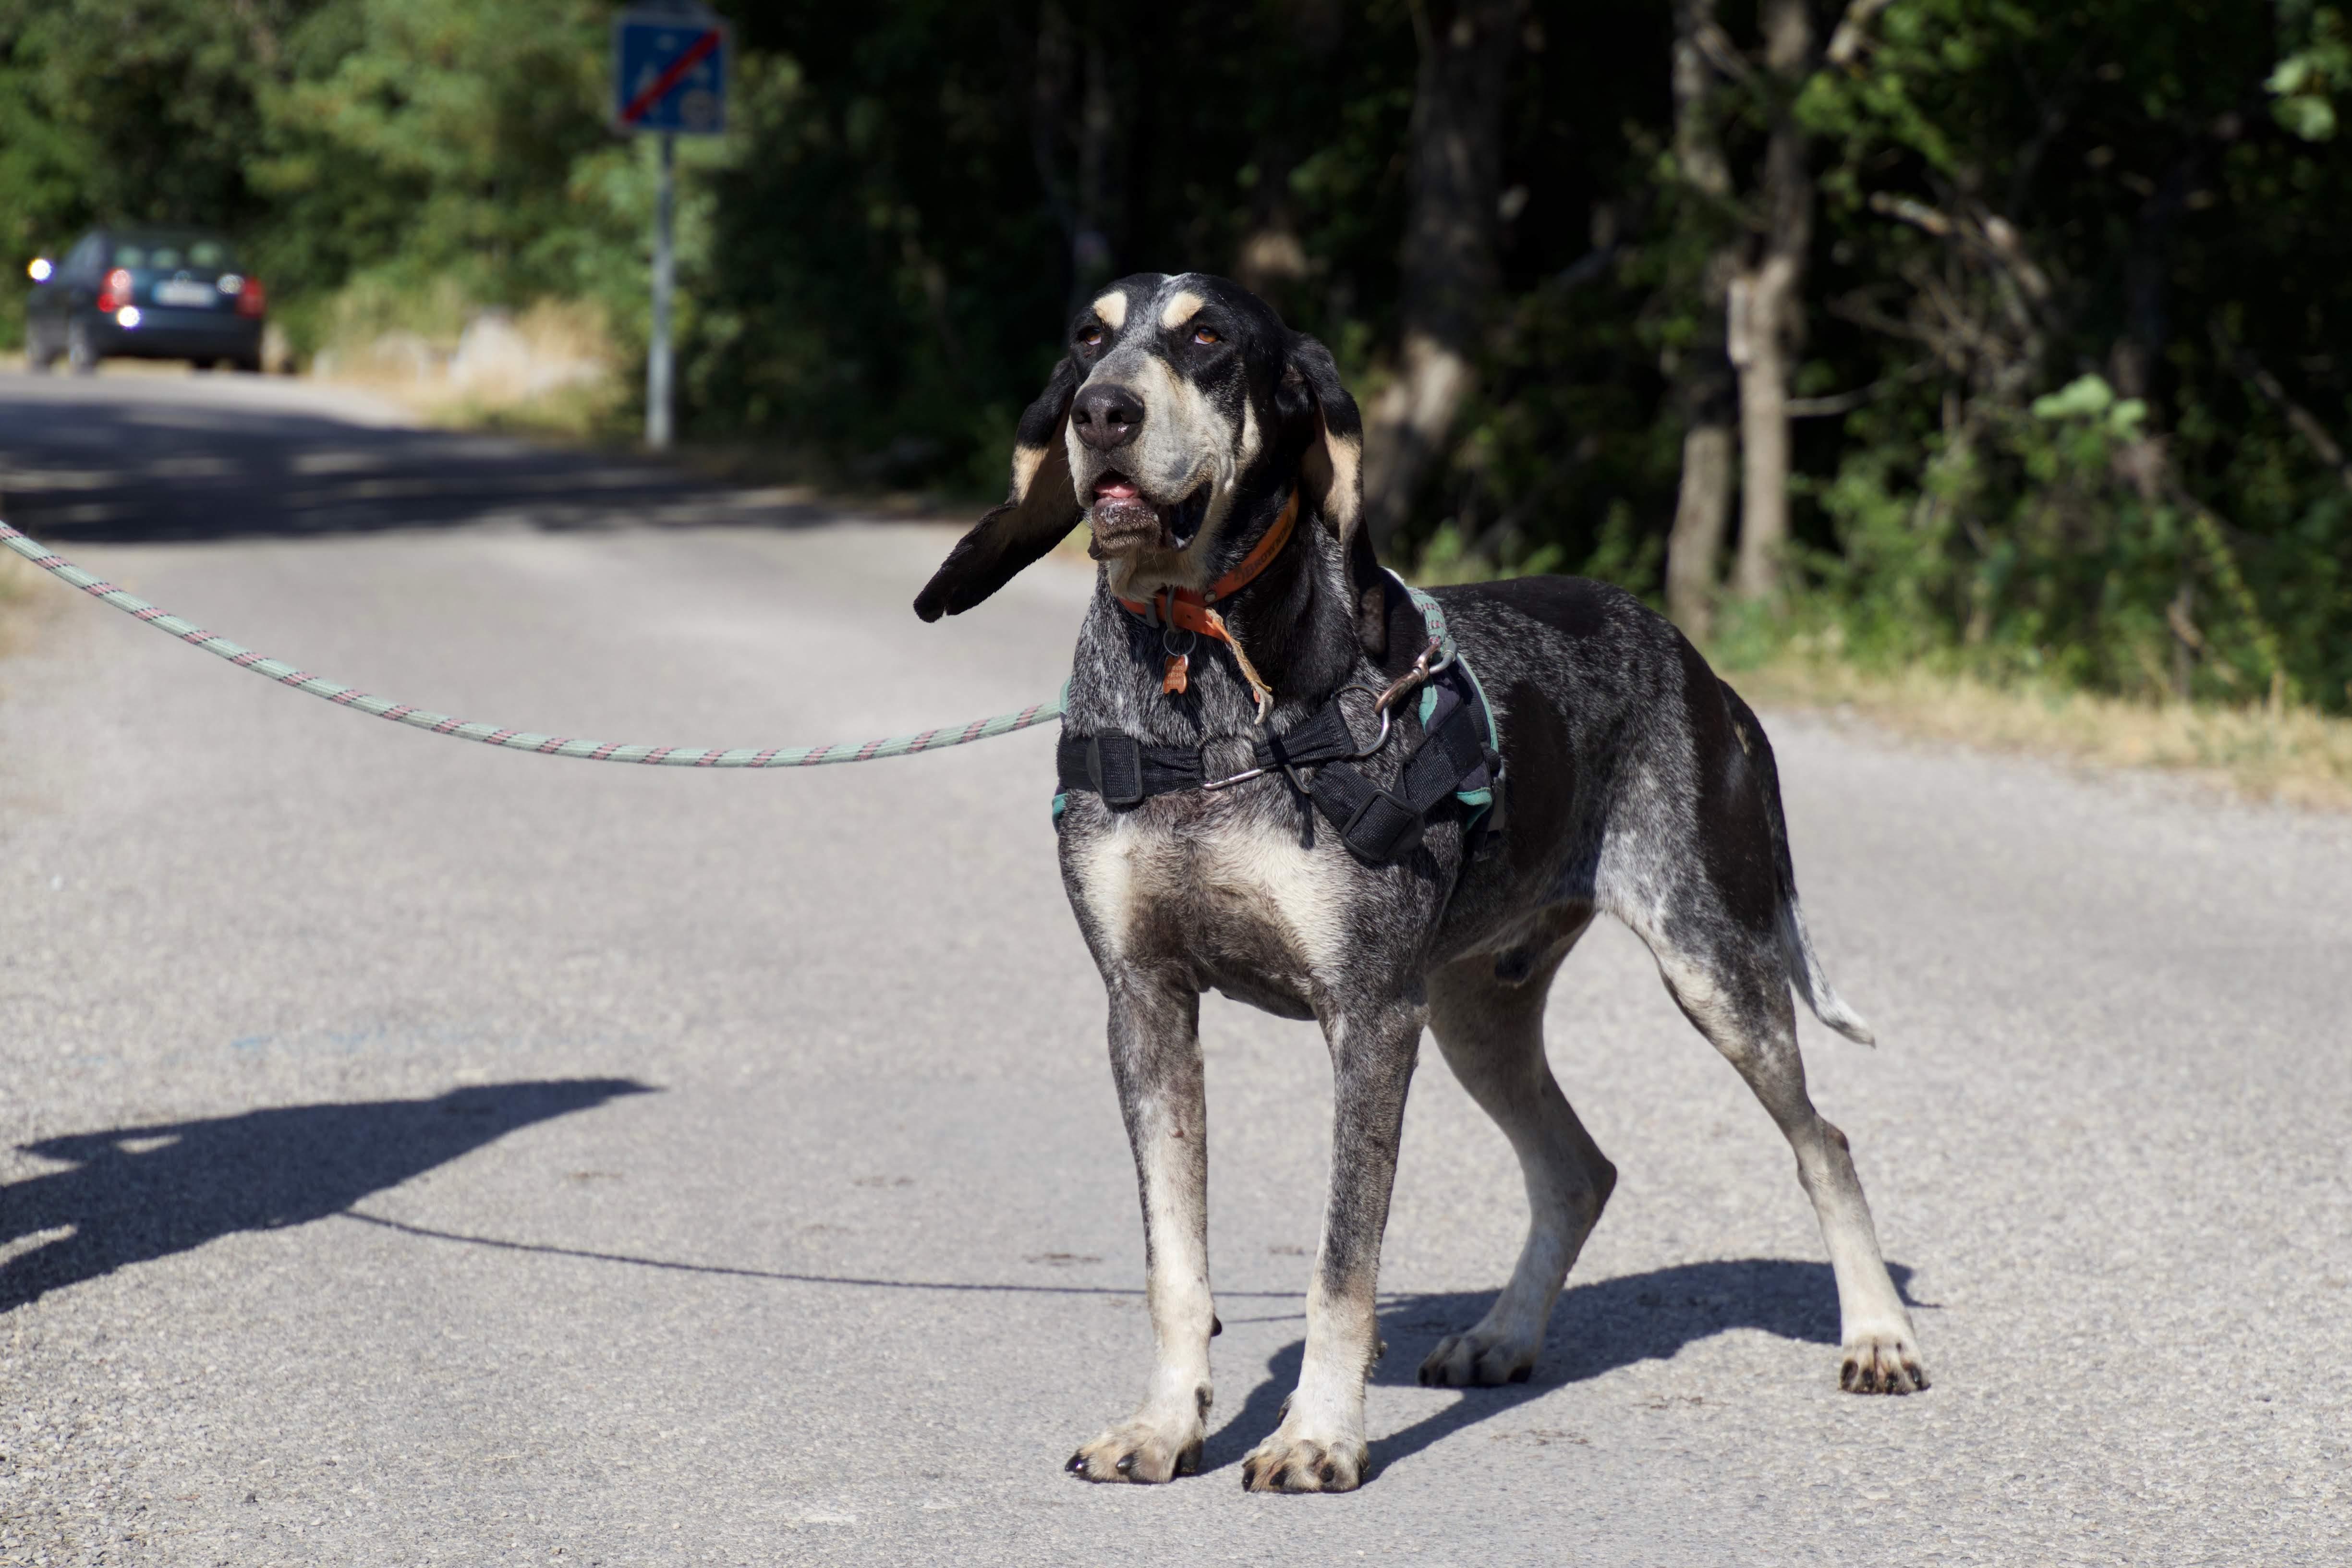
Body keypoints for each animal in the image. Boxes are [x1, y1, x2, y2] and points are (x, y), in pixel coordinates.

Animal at [908, 272, 1919, 1495]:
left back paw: (1876, 1336)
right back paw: (1503, 1334)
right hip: (1475, 1014)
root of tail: (1702, 668)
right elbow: (1175, 1262)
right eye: (1086, 336)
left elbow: (1342, 1264)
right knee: (1578, 1170)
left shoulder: (1369, 1017)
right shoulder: (1145, 1006)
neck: (1199, 673)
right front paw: (1163, 1424)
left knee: (1823, 1142)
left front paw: (1315, 1435)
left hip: (1710, 970)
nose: (1102, 411)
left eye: (1208, 339)